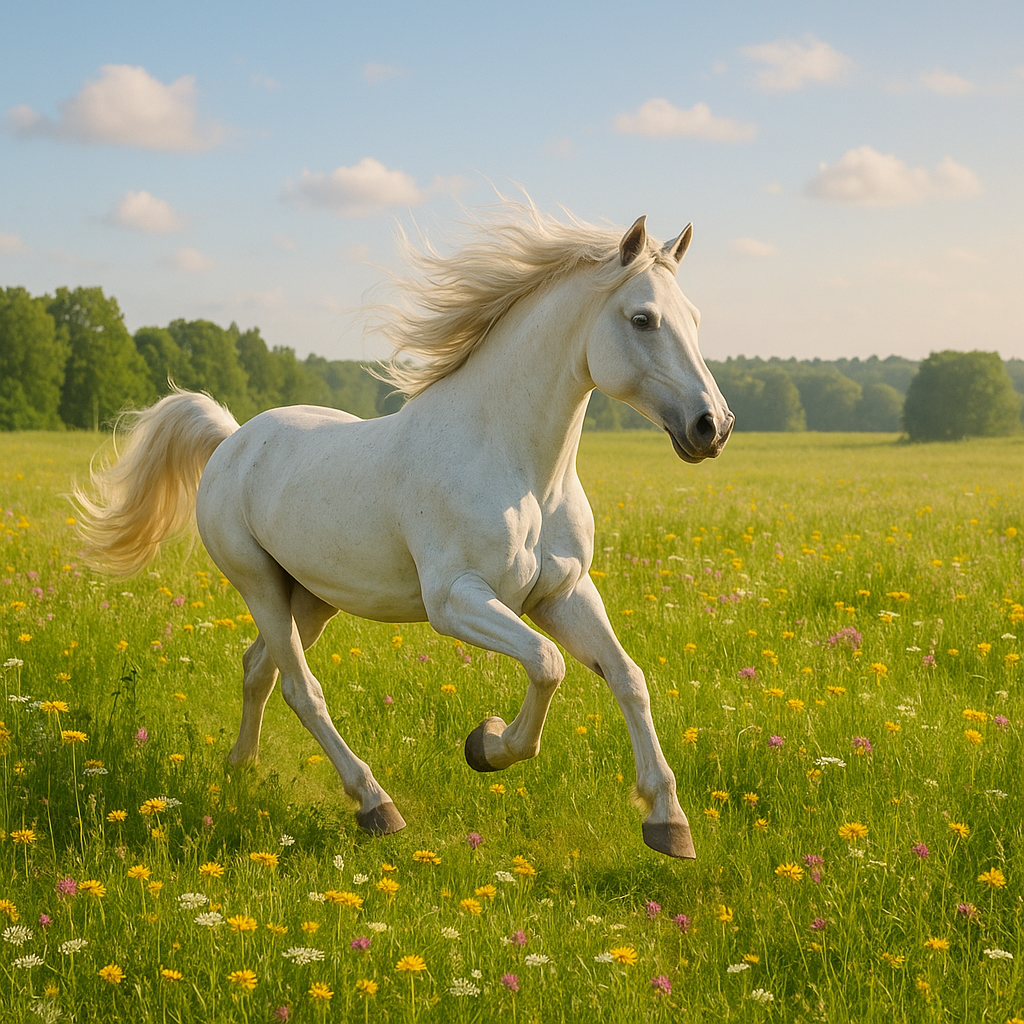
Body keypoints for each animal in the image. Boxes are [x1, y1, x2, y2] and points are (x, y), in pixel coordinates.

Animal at [73, 204, 734, 859]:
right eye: (642, 319)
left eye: (697, 318)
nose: (713, 426)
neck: (519, 469)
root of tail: (232, 440)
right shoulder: (456, 600)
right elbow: (548, 664)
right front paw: (487, 745)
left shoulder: (562, 594)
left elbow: (627, 676)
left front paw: (669, 822)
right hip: (258, 585)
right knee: (300, 688)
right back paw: (374, 804)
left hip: (310, 598)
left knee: (259, 668)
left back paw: (241, 769)